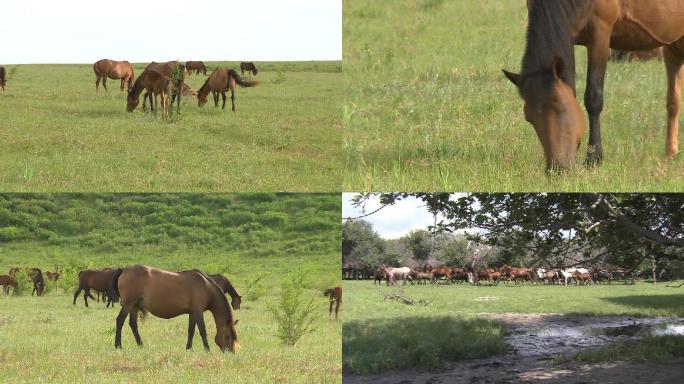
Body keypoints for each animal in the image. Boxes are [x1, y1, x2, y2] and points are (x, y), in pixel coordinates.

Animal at [502, 0, 684, 170]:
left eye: (560, 107)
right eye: (529, 118)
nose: (556, 168)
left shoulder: (600, 34)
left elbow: (594, 98)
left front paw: (593, 158)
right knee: (673, 101)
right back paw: (670, 153)